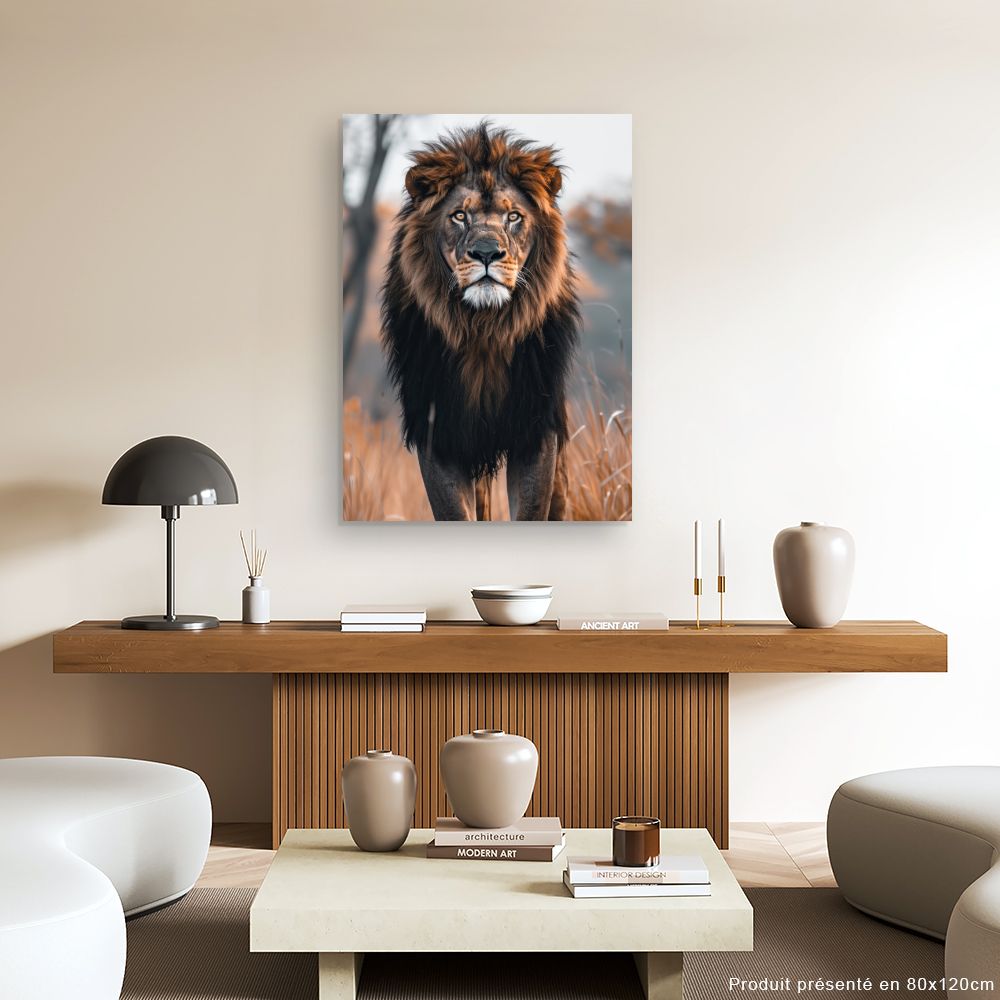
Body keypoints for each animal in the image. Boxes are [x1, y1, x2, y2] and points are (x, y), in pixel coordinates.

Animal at [380, 121, 580, 521]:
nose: (487, 253)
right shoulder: (438, 431)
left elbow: (532, 510)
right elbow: (455, 512)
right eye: (460, 215)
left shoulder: (536, 431)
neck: (483, 329)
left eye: (513, 217)